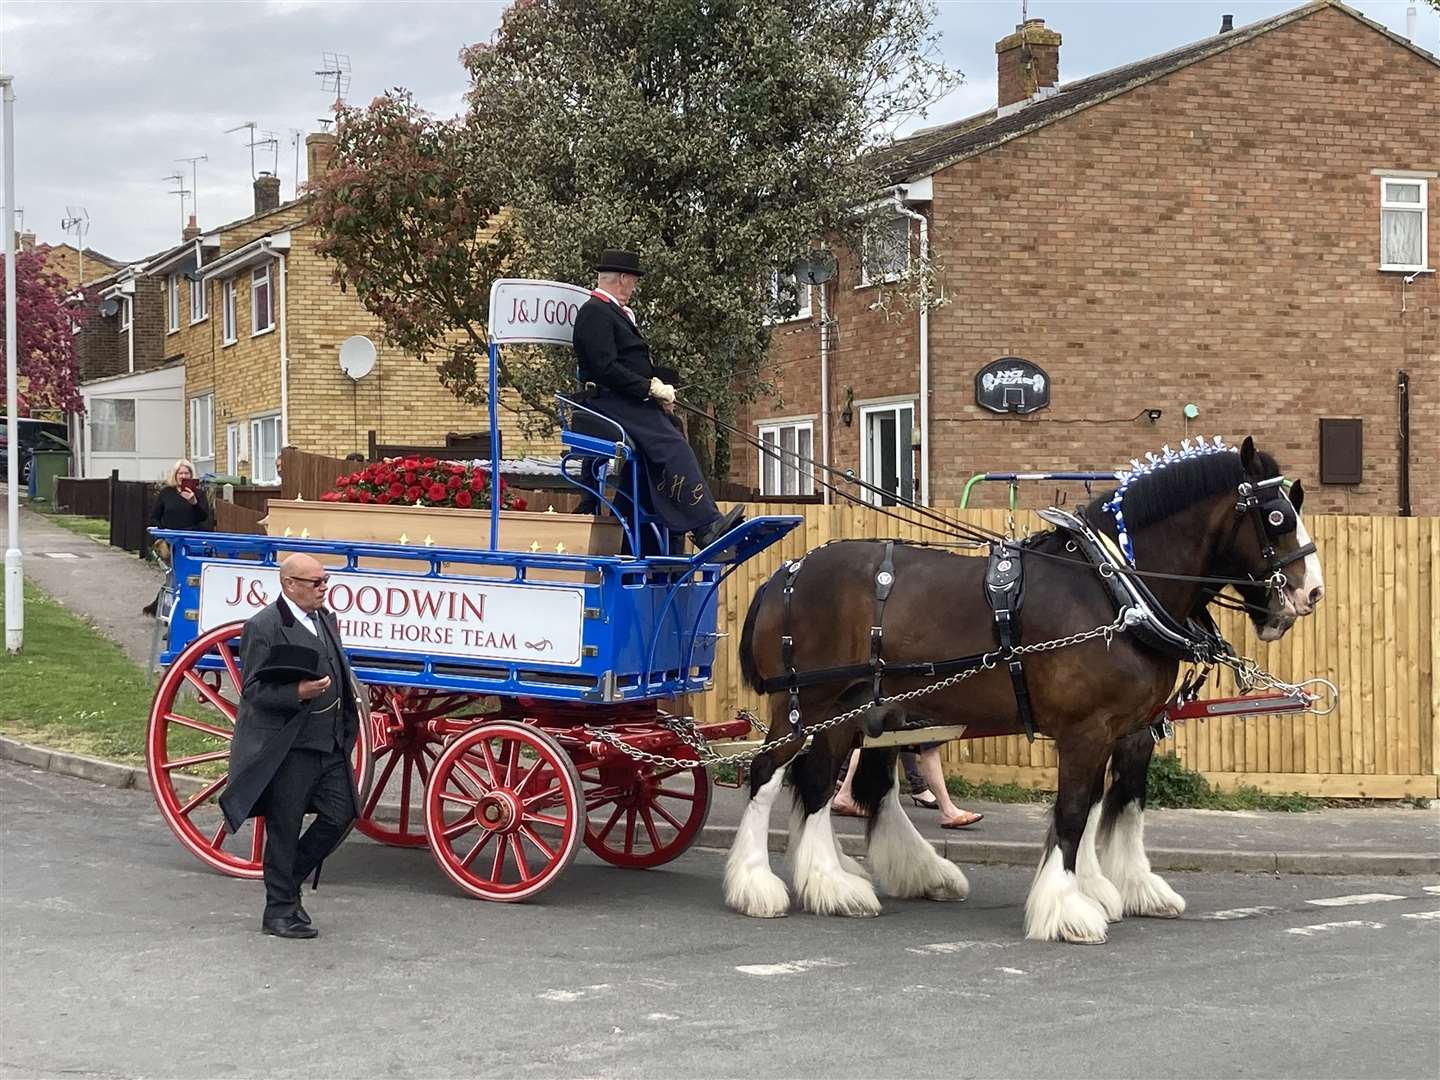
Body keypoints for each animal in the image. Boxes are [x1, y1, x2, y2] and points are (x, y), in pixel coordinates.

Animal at [725, 434, 1319, 944]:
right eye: (1275, 518)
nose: (1310, 594)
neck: (1114, 590)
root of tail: (785, 573)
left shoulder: (1133, 729)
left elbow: (1116, 804)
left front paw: (1121, 888)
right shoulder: (1086, 730)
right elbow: (1074, 813)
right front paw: (1067, 908)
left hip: (856, 711)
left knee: (827, 786)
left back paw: (839, 882)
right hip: (807, 706)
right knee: (770, 774)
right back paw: (760, 885)